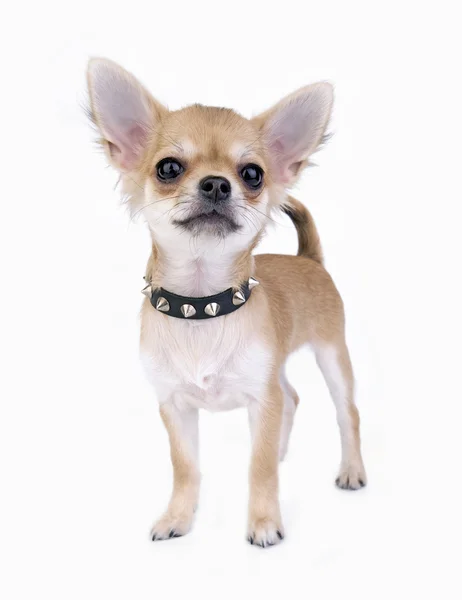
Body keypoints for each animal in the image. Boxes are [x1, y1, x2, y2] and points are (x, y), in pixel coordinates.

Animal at [86, 59, 366, 548]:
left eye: (253, 174)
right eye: (168, 168)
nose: (217, 184)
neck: (202, 305)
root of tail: (307, 258)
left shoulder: (260, 397)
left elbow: (259, 468)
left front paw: (264, 522)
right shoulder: (175, 407)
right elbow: (186, 468)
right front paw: (178, 517)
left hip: (332, 355)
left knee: (346, 412)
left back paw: (350, 470)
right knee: (291, 399)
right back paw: (283, 450)